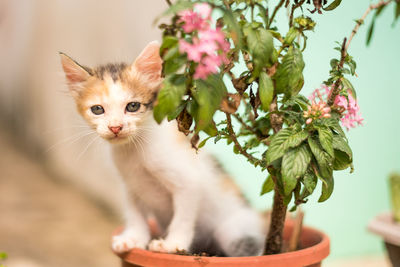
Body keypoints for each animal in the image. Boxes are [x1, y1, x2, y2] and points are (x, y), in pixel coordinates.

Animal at [59, 40, 266, 256]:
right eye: (97, 109)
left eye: (132, 106)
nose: (115, 127)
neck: (134, 150)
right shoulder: (132, 185)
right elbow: (135, 214)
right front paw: (133, 238)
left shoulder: (189, 182)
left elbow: (183, 217)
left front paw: (172, 245)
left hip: (233, 230)